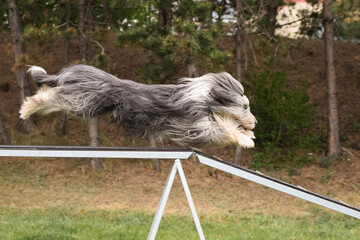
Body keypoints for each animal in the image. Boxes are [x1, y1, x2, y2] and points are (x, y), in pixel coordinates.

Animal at [19, 64, 258, 147]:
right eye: (245, 107)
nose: (255, 122)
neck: (204, 99)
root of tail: (72, 70)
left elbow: (224, 123)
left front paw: (248, 134)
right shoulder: (193, 127)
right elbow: (222, 128)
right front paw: (246, 139)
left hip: (81, 102)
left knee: (51, 99)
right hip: (82, 99)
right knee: (46, 97)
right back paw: (27, 108)